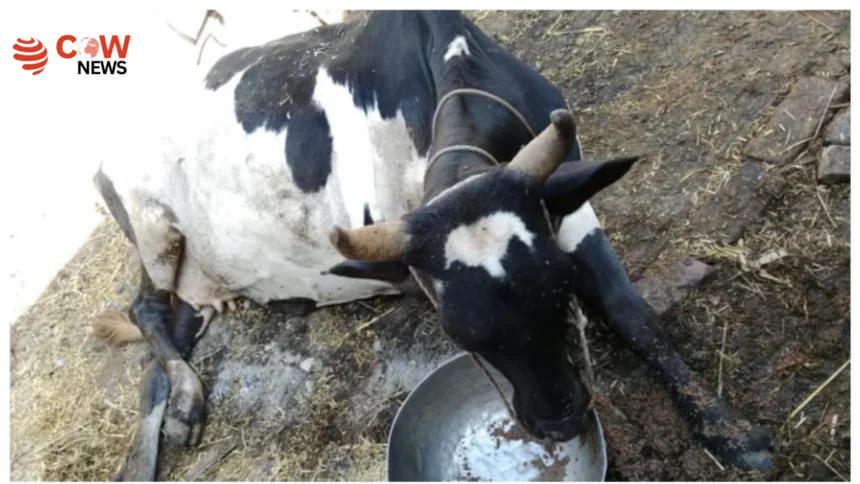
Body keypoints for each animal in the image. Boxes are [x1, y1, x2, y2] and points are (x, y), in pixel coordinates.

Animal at [92, 10, 773, 480]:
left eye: (559, 295)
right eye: (462, 335)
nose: (558, 421)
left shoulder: (569, 197)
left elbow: (630, 311)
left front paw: (731, 431)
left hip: (196, 278)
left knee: (164, 343)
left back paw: (160, 429)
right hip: (152, 229)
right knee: (144, 310)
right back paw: (180, 407)